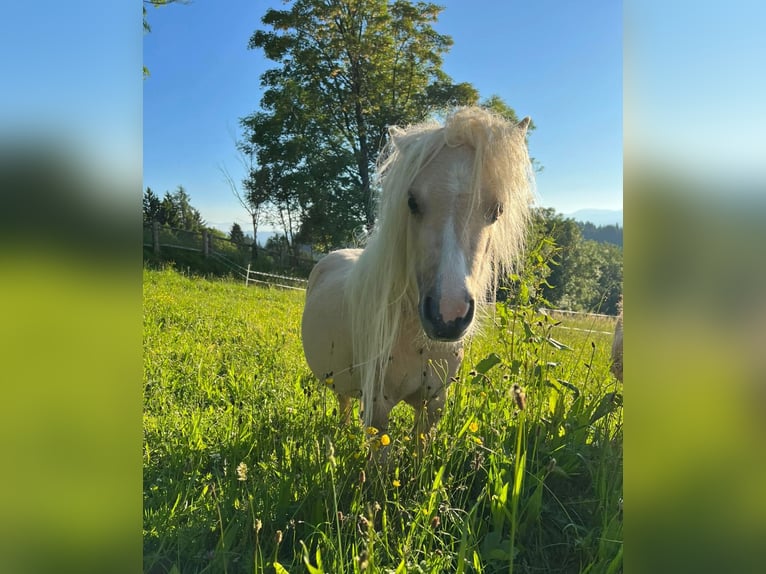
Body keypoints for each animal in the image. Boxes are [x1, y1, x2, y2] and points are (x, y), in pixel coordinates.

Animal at [300, 108, 536, 438]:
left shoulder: (432, 405)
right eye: (411, 202)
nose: (448, 316)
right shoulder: (378, 407)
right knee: (343, 402)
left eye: (497, 210)